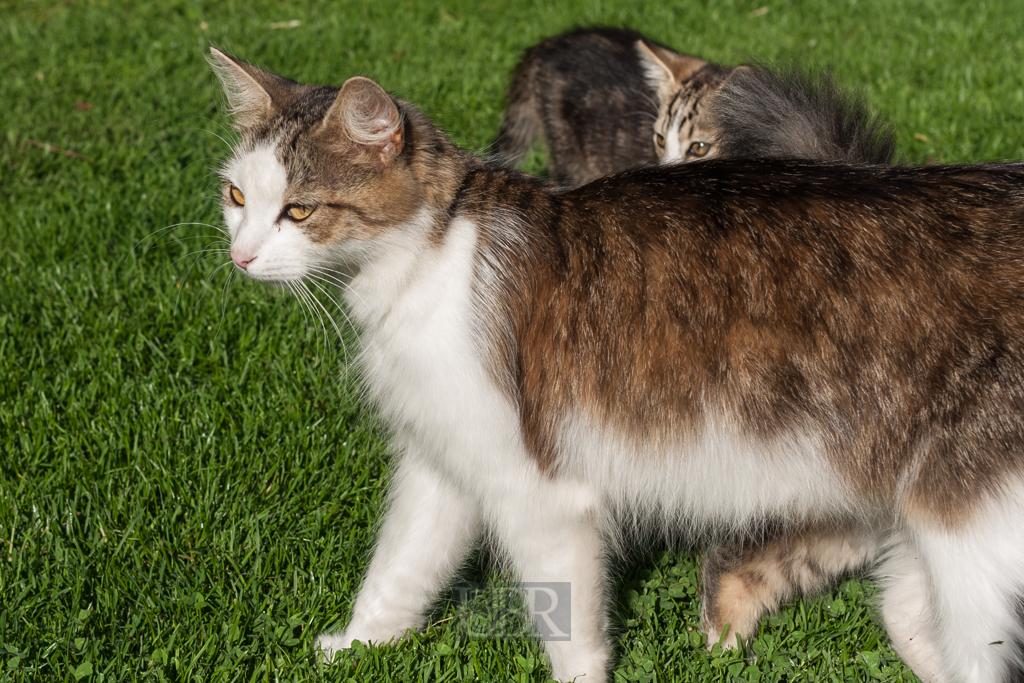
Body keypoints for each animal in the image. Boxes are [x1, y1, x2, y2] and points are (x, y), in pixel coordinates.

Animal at [207, 49, 1024, 683]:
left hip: (967, 529)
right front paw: (355, 646)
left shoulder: (540, 496)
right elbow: (399, 571)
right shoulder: (443, 467)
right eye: (237, 195)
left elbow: (572, 638)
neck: (429, 260)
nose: (239, 257)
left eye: (300, 211)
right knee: (910, 620)